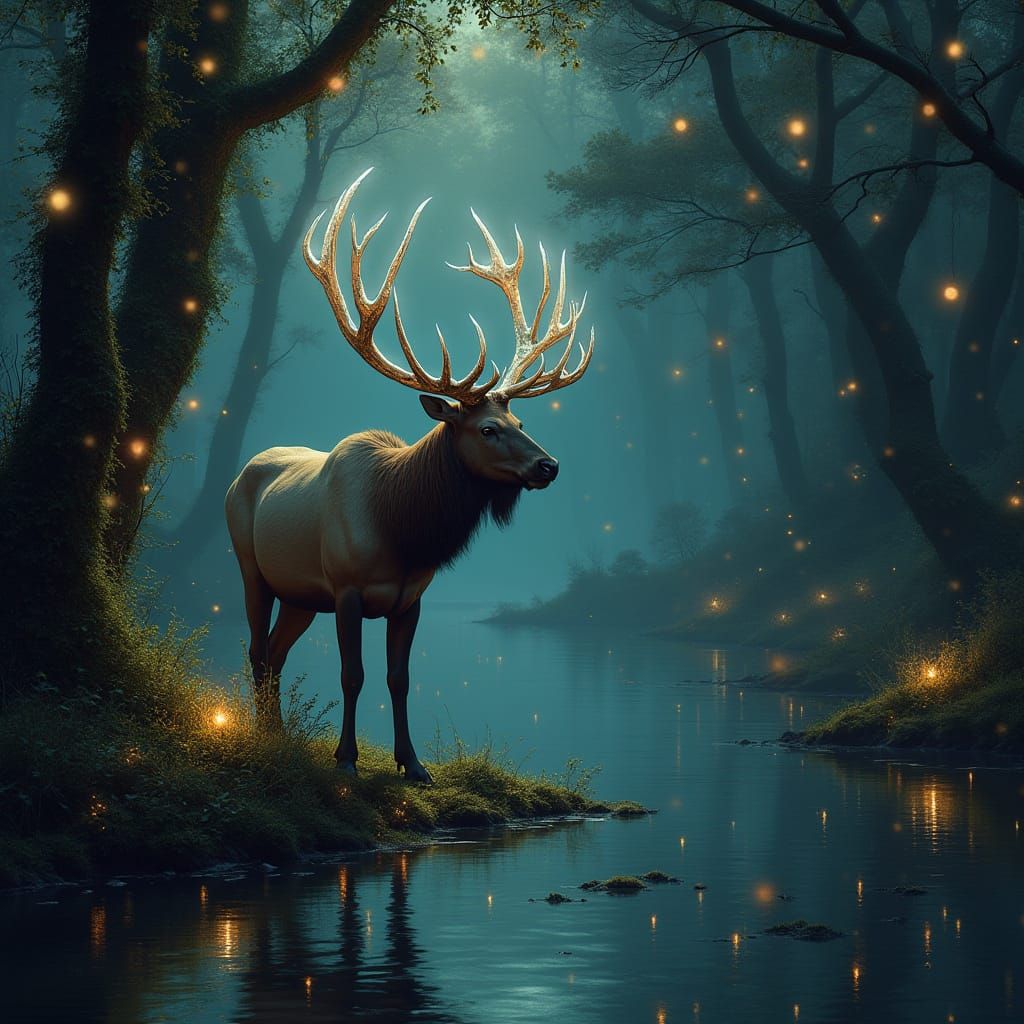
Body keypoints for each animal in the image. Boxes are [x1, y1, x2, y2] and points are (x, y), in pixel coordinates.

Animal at [225, 169, 595, 783]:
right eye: (488, 429)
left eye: (521, 421)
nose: (550, 465)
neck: (402, 530)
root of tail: (240, 476)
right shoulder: (346, 588)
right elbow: (353, 675)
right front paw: (346, 759)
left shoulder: (411, 598)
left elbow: (399, 680)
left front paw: (413, 763)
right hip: (251, 566)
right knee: (256, 648)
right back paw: (261, 735)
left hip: (301, 593)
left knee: (277, 651)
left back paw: (278, 735)